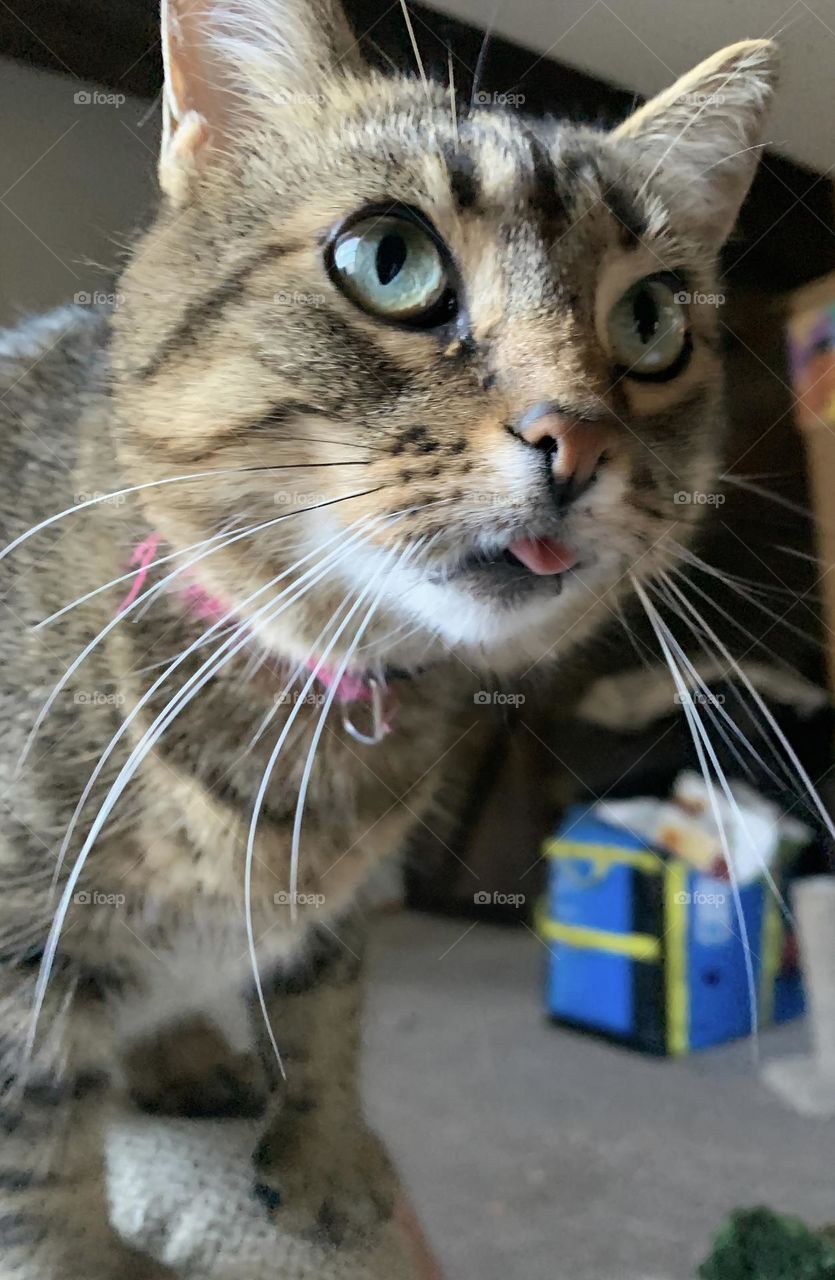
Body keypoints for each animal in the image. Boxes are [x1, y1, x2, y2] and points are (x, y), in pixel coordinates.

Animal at [0, 5, 778, 1274]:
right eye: (389, 259)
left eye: (651, 320)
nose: (575, 436)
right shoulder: (20, 964)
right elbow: (39, 1163)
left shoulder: (344, 906)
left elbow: (328, 1007)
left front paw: (327, 1154)